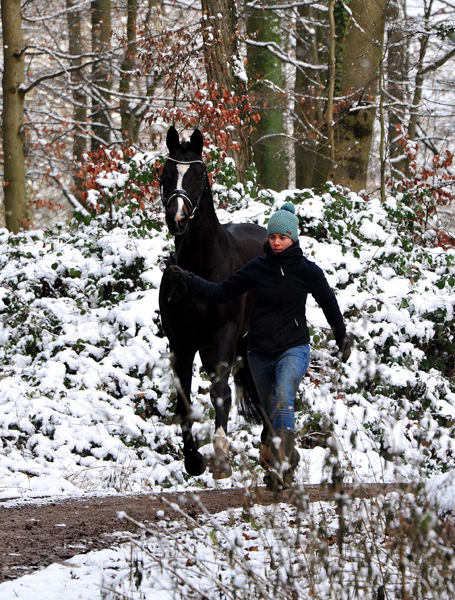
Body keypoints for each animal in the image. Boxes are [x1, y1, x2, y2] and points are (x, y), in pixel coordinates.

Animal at [160, 126, 268, 478]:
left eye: (198, 174)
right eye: (165, 174)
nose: (178, 218)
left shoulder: (223, 336)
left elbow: (220, 393)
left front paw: (220, 457)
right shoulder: (181, 343)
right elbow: (183, 399)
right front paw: (193, 459)